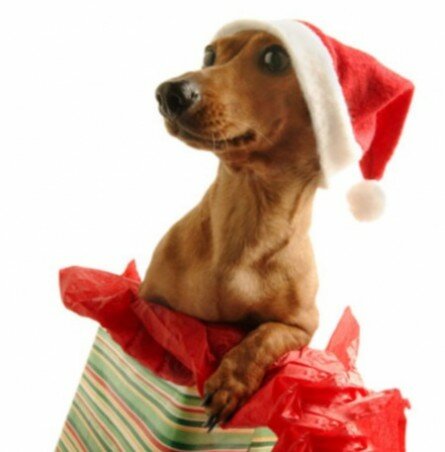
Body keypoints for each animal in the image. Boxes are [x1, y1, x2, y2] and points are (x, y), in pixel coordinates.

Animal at [138, 30, 320, 430]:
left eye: (275, 58)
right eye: (209, 54)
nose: (169, 92)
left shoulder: (302, 327)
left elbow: (264, 336)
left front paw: (230, 383)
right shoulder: (147, 298)